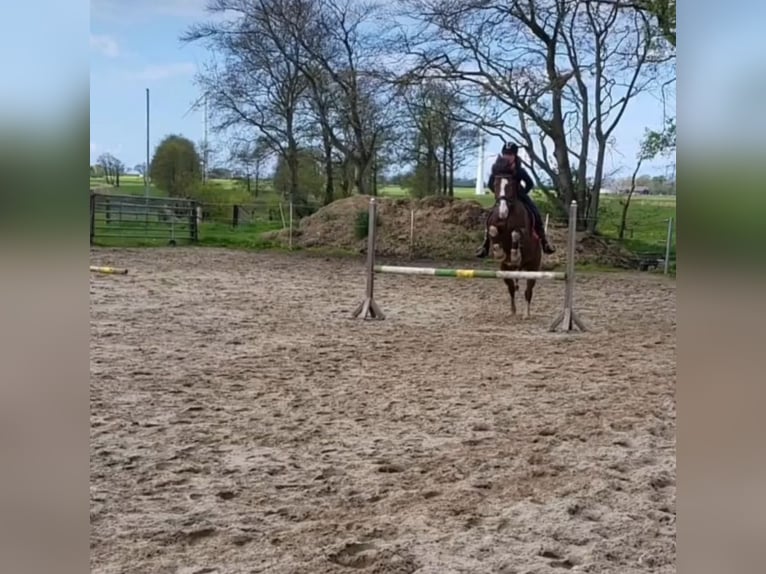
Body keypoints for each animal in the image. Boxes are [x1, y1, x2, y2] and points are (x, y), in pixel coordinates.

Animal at [486, 156, 544, 320]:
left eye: (511, 185)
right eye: (495, 184)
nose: (502, 212)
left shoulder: (523, 233)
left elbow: (516, 233)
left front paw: (515, 255)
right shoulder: (494, 226)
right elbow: (493, 230)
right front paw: (499, 252)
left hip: (533, 267)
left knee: (528, 291)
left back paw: (526, 313)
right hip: (505, 270)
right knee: (511, 288)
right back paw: (512, 310)